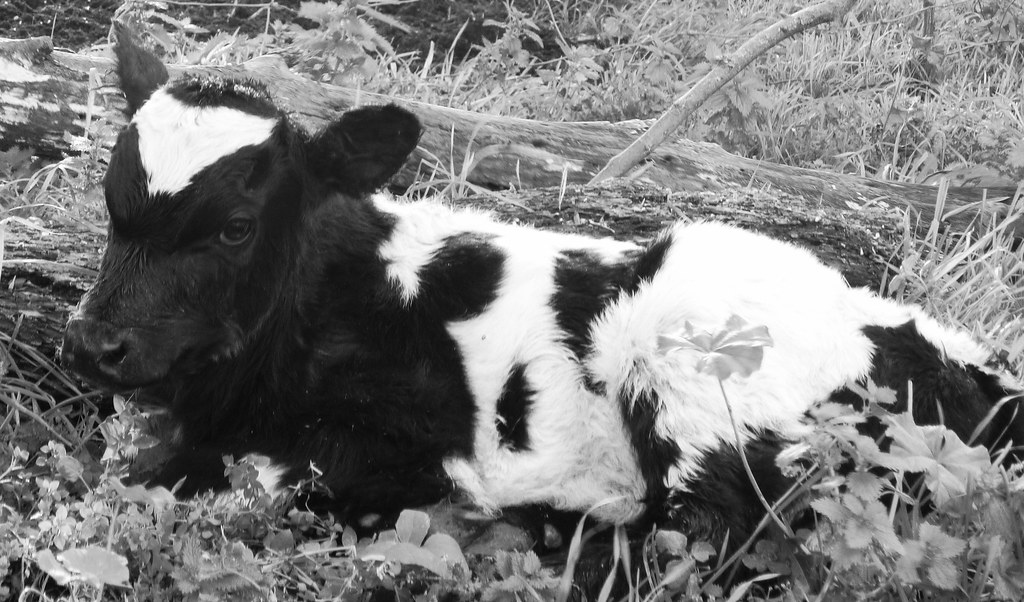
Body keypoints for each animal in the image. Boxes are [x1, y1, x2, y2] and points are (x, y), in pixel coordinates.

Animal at [62, 29, 1024, 549]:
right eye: (110, 204)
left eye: (235, 227)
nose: (95, 343)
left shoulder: (407, 446)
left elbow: (256, 480)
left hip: (700, 384)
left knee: (720, 538)